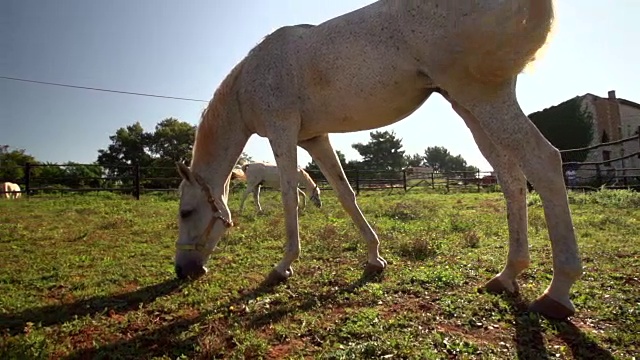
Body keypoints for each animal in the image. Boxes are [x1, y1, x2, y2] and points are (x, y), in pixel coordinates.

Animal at [172, 0, 584, 320]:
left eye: (186, 212)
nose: (182, 271)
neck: (250, 80)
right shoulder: (314, 138)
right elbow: (344, 193)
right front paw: (374, 258)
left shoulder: (282, 131)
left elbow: (290, 197)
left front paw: (283, 266)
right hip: (469, 106)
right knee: (511, 177)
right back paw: (507, 274)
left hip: (484, 97)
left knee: (543, 162)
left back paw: (557, 292)